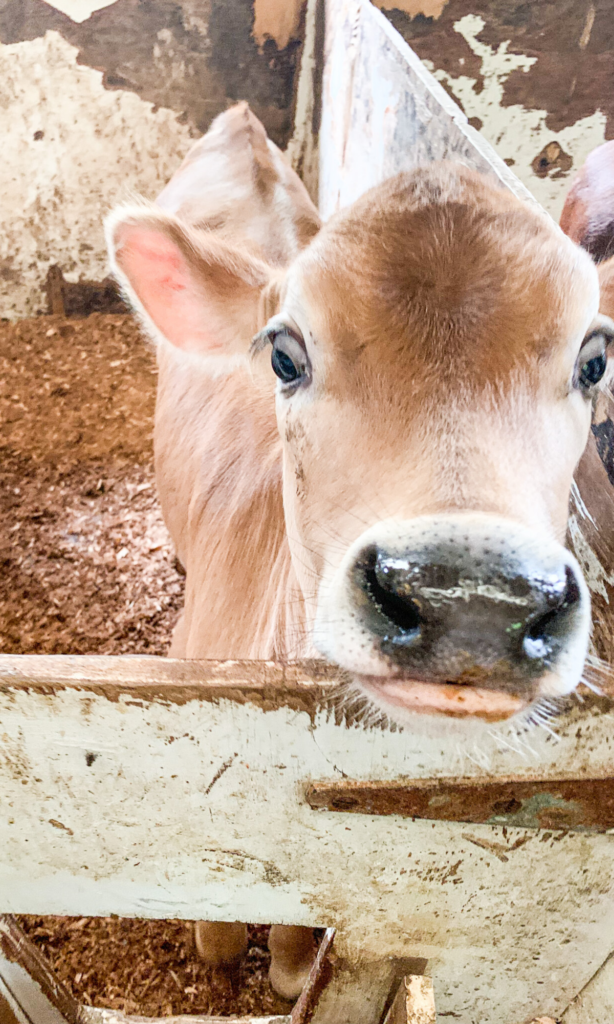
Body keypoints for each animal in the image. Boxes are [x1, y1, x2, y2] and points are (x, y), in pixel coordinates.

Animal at [107, 103, 609, 999]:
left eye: (595, 358)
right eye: (284, 354)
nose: (474, 599)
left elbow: (296, 942)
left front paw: (285, 969)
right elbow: (215, 932)